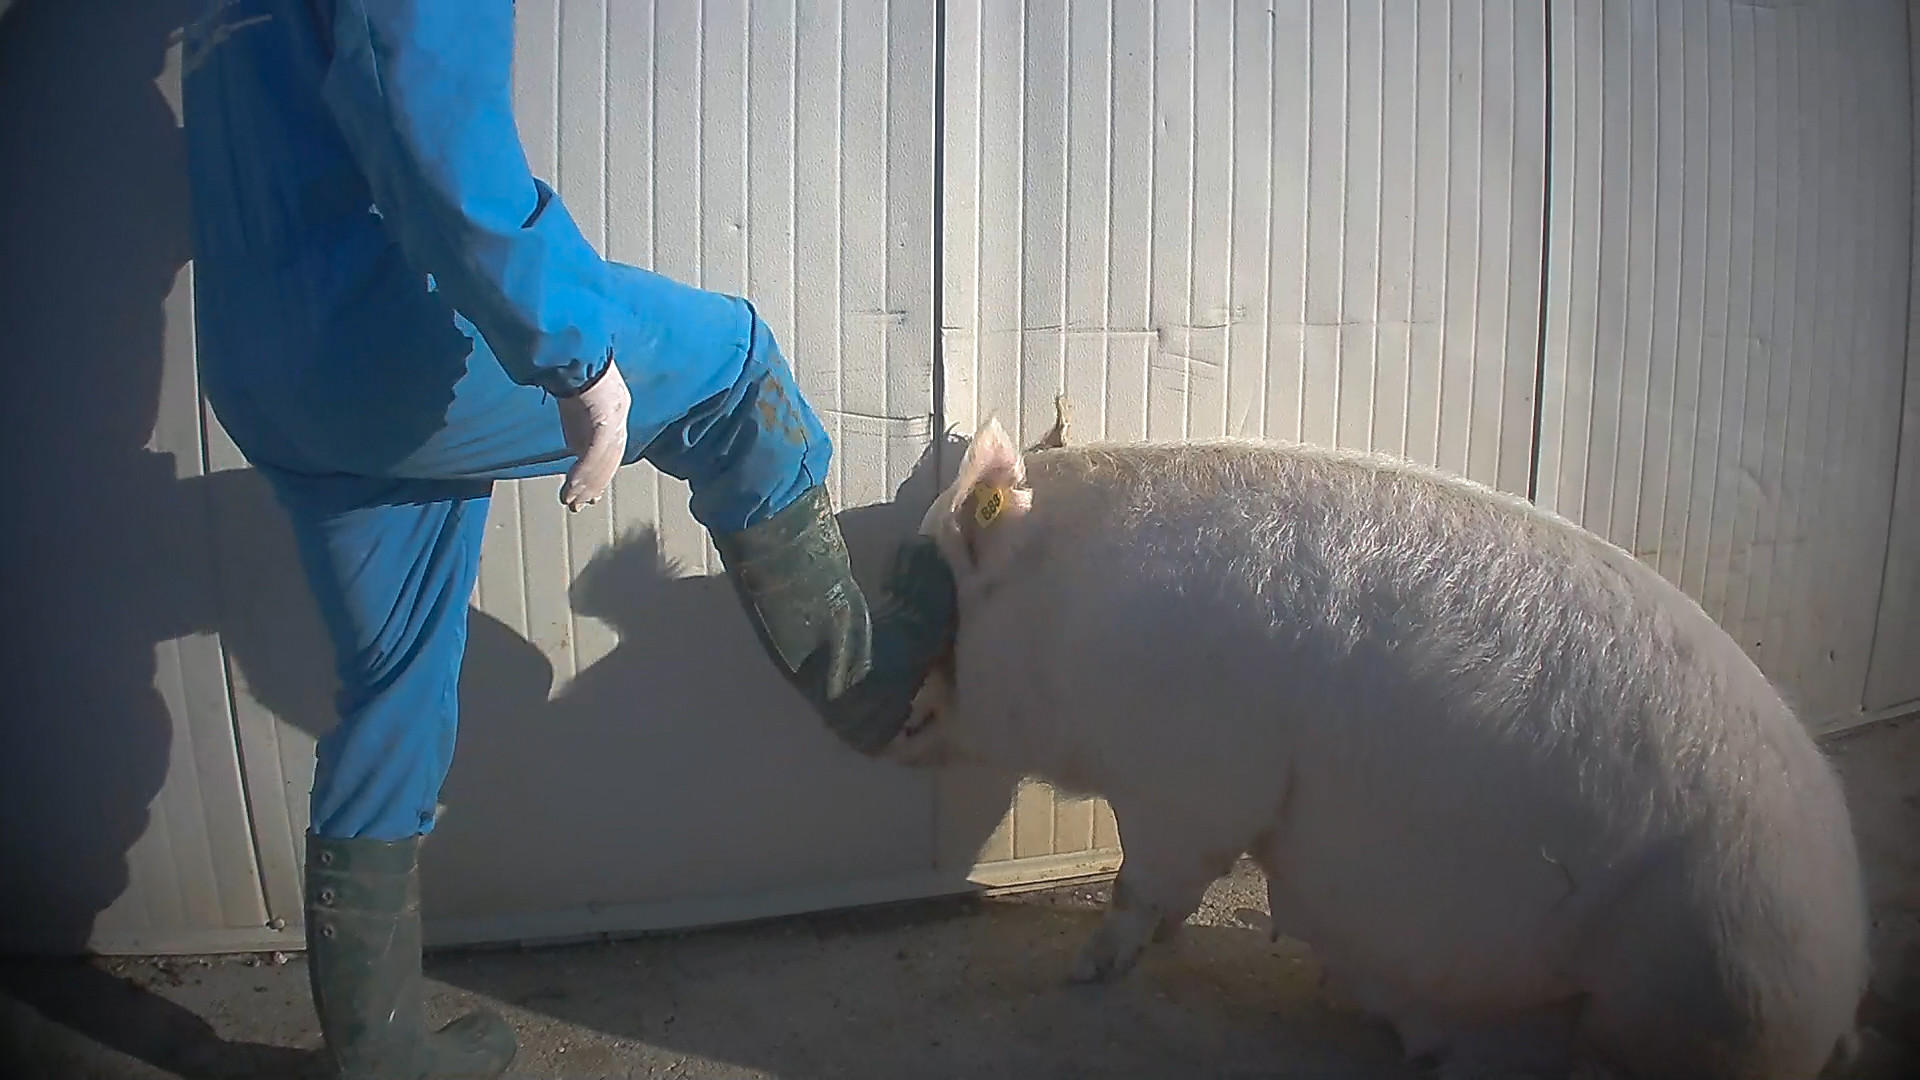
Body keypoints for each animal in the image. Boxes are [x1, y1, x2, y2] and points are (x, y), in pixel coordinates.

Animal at [890, 413, 1866, 1076]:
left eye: (940, 599)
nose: (876, 724)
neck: (1070, 617)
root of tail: (1845, 966)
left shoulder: (1199, 781)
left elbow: (1143, 881)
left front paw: (1085, 972)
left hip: (1692, 993)